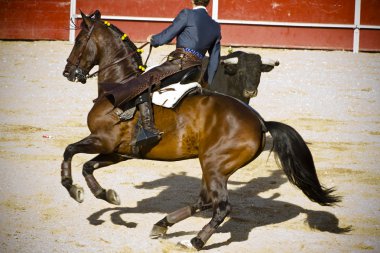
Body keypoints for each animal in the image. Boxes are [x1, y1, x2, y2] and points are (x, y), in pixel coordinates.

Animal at [60, 10, 340, 250]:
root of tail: (260, 122)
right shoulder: (119, 151)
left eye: (79, 40)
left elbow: (69, 151)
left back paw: (194, 241)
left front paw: (73, 189)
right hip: (213, 166)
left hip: (215, 165)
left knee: (221, 207)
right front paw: (106, 195)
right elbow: (88, 166)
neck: (118, 85)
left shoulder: (103, 141)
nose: (67, 72)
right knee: (205, 201)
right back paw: (162, 224)